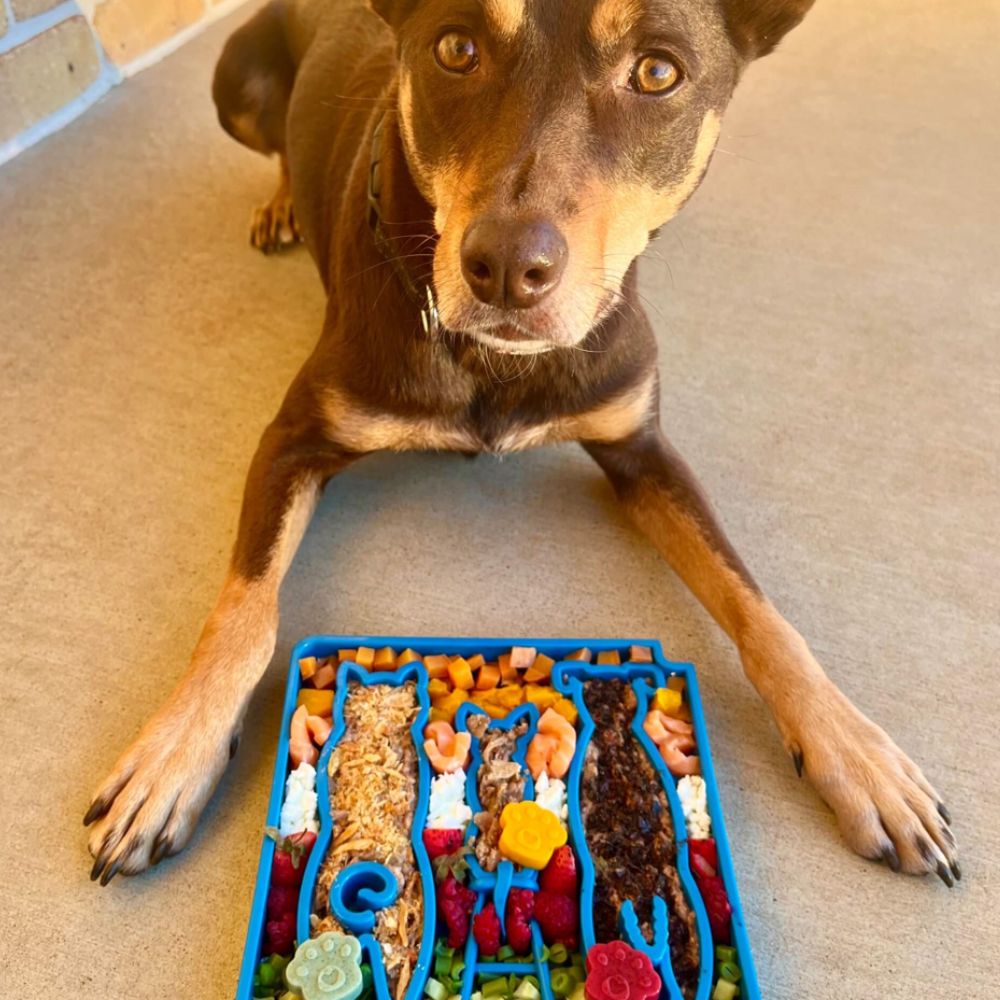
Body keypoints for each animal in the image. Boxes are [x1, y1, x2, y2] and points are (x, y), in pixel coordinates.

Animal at [86, 0, 960, 892]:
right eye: (455, 48)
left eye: (658, 71)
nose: (506, 267)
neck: (494, 363)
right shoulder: (295, 438)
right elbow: (243, 611)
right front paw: (173, 755)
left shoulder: (641, 447)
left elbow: (758, 609)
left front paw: (858, 755)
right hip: (235, 79)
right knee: (272, 149)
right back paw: (281, 200)